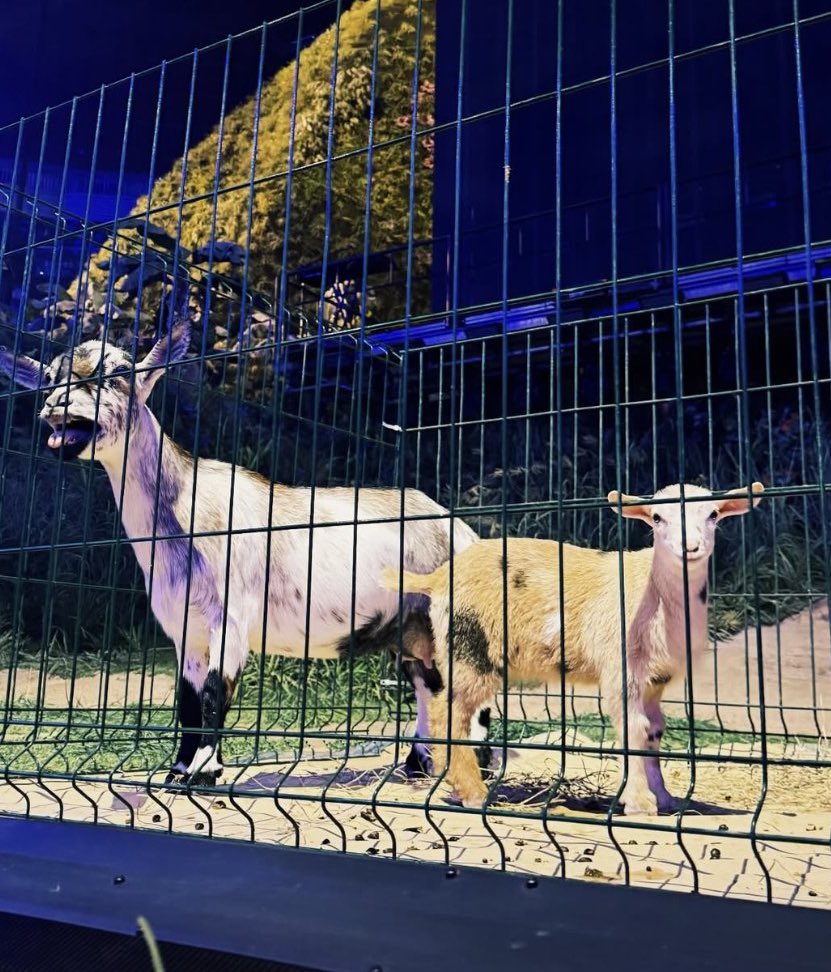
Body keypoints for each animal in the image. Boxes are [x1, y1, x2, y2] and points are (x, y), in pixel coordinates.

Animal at [0, 320, 479, 784]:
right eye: (49, 378)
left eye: (117, 373)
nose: (57, 405)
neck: (185, 503)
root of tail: (460, 527)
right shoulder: (185, 628)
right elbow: (188, 701)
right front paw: (179, 770)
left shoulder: (230, 615)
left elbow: (215, 694)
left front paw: (204, 771)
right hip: (409, 626)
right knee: (428, 683)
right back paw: (421, 764)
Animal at [381, 482, 764, 813]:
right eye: (657, 518)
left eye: (713, 514)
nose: (691, 547)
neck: (653, 590)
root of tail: (436, 578)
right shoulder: (620, 667)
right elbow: (633, 729)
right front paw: (640, 804)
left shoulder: (655, 679)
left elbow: (653, 731)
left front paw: (665, 798)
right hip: (470, 646)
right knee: (448, 711)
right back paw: (473, 793)